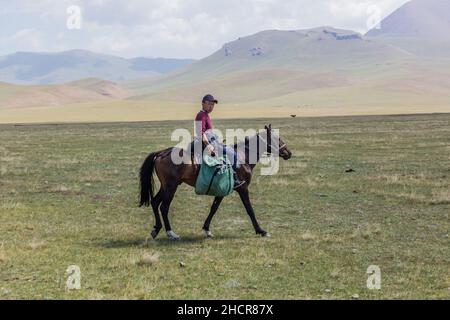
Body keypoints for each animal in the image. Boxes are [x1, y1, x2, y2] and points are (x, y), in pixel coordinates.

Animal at [138, 125, 292, 240]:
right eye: (277, 138)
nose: (289, 153)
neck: (244, 157)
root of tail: (160, 153)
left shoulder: (223, 189)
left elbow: (214, 208)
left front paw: (207, 229)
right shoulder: (242, 188)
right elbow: (249, 209)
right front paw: (261, 230)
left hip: (165, 186)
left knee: (155, 202)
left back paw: (156, 229)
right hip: (171, 186)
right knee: (164, 207)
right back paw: (171, 233)